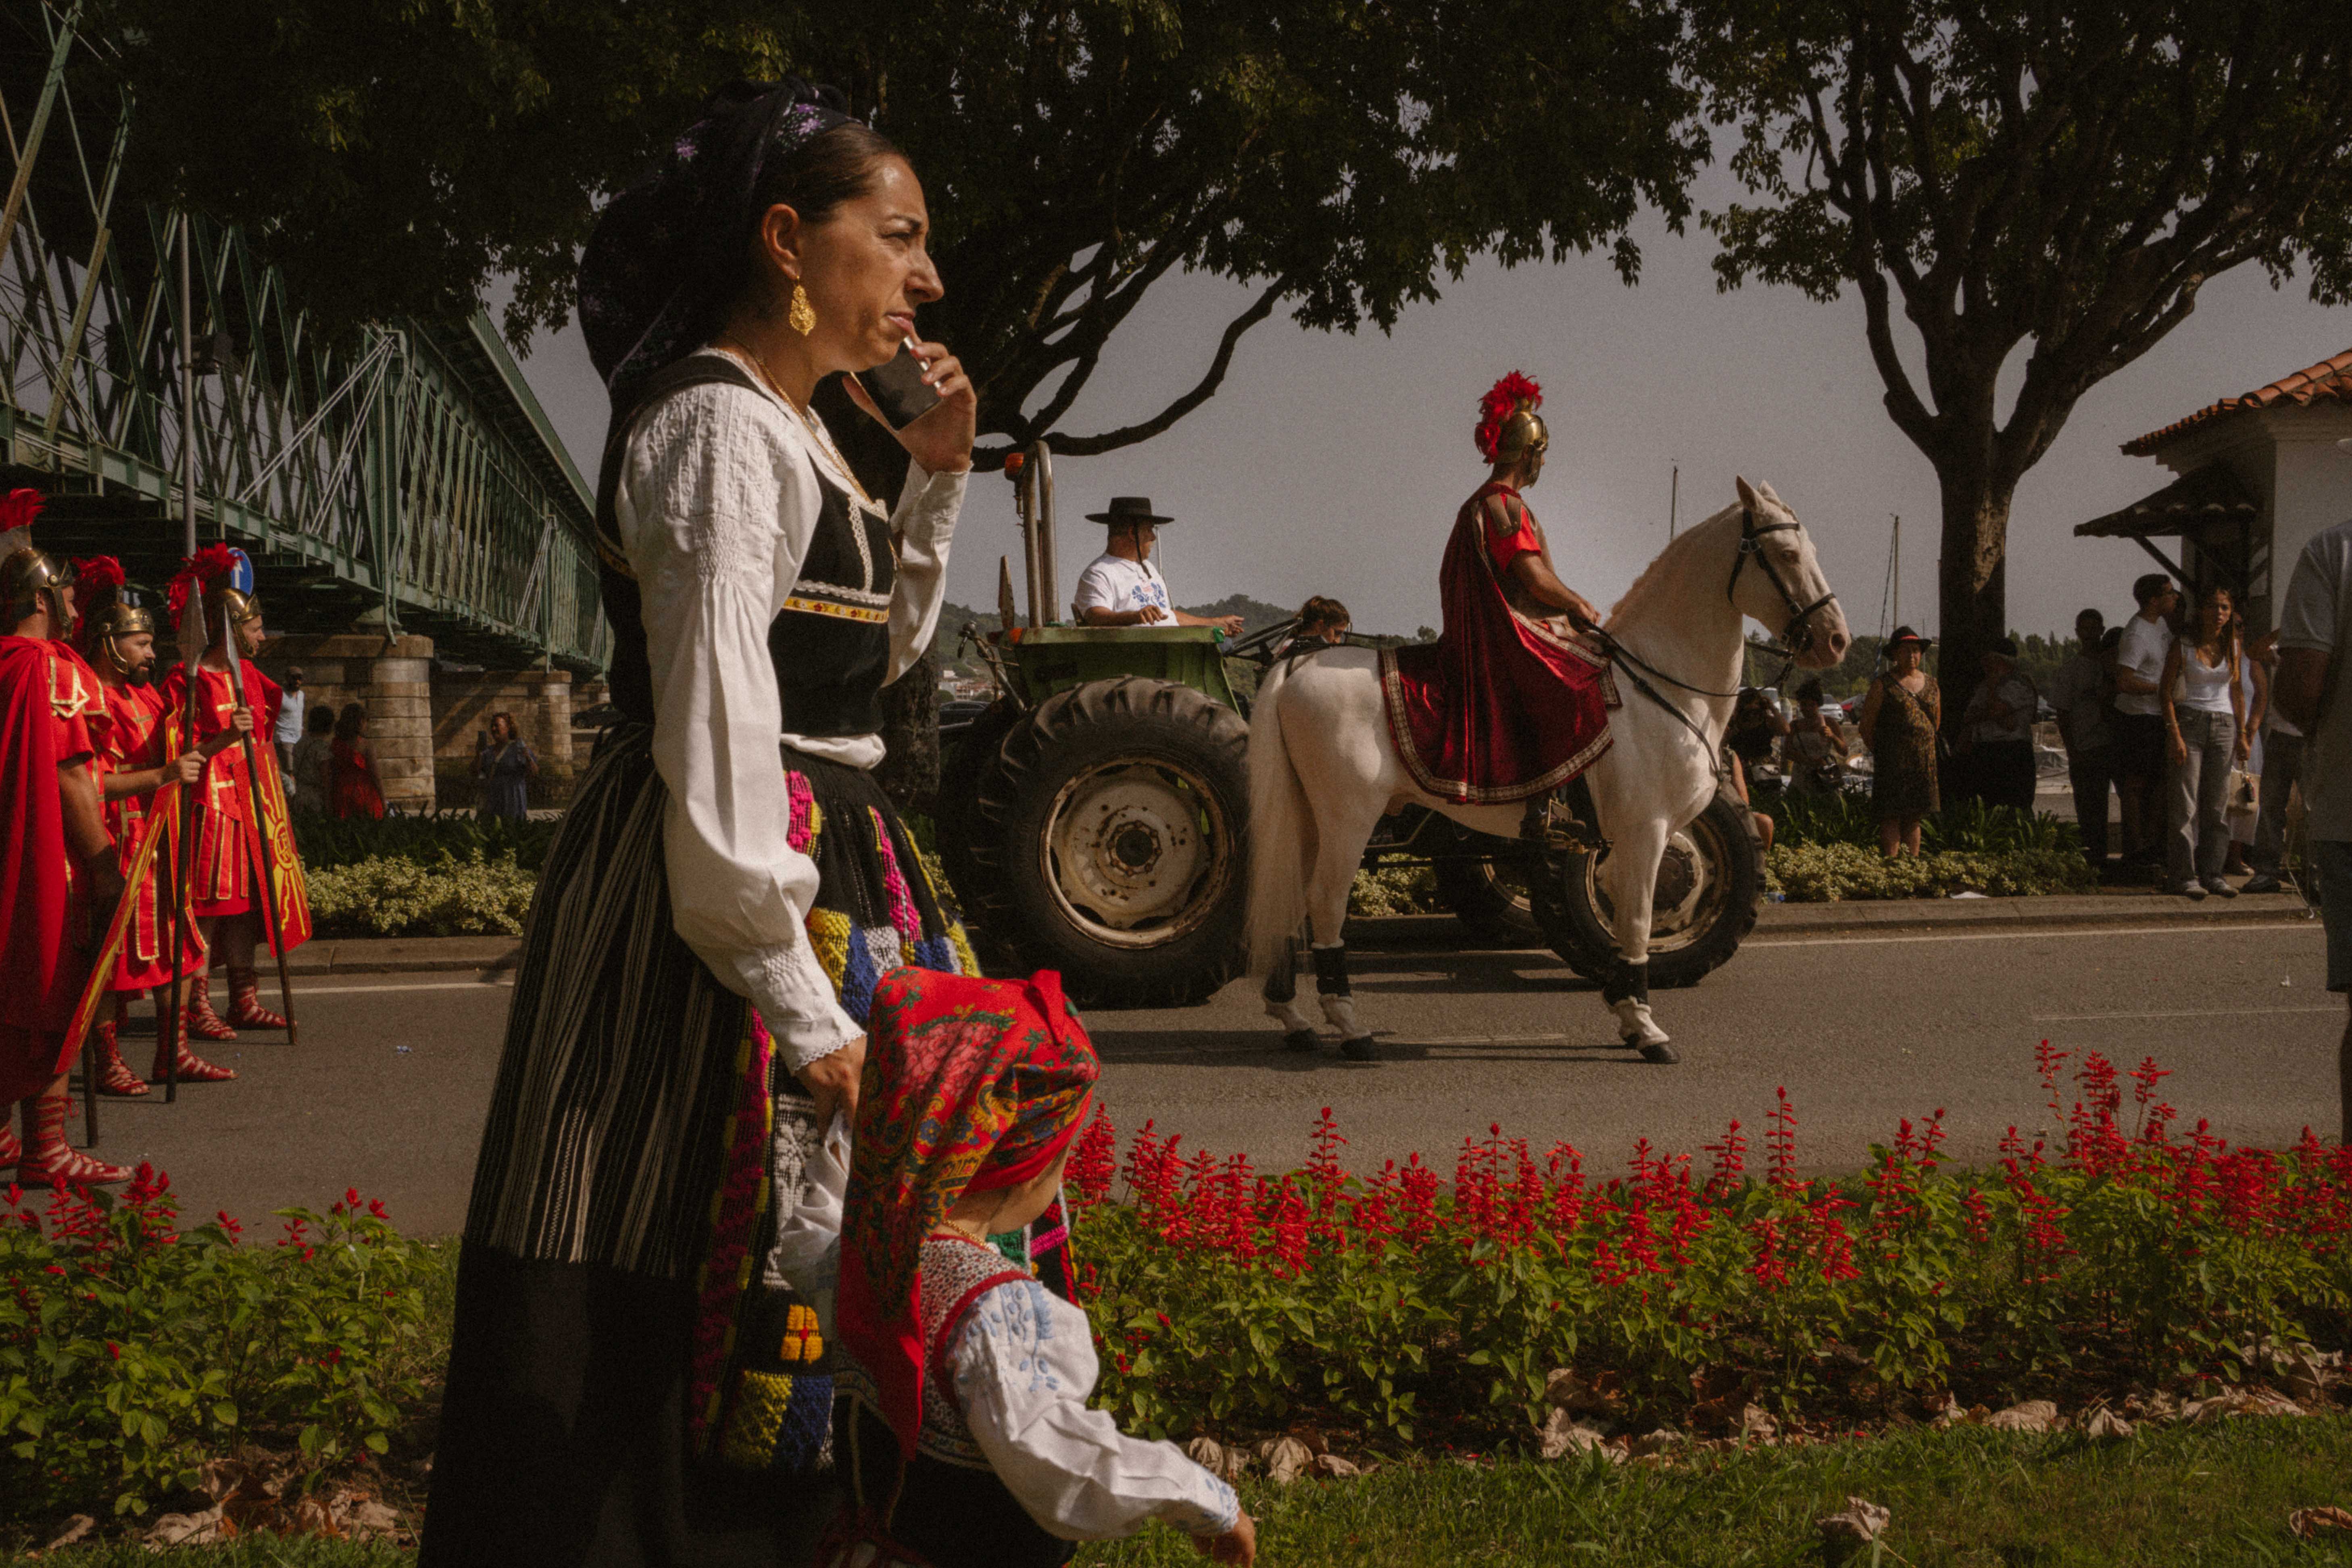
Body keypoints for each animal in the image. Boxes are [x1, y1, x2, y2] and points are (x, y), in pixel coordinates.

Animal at [1244, 477, 1850, 1063]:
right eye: (1788, 554)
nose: (1836, 639)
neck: (1663, 685)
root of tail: (1297, 661)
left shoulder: (1620, 838)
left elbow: (1622, 914)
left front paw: (1625, 1008)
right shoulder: (1648, 829)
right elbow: (1638, 918)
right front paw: (1647, 1028)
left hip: (1305, 816)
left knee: (1288, 897)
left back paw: (1292, 1016)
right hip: (1347, 819)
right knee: (1324, 902)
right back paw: (1349, 1027)